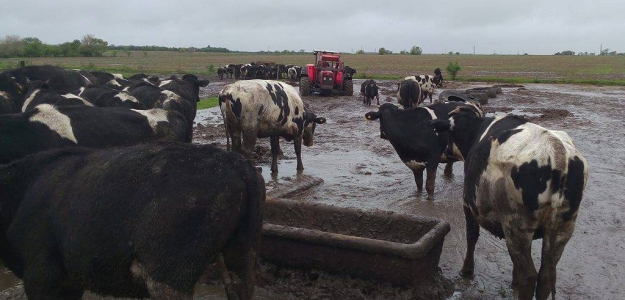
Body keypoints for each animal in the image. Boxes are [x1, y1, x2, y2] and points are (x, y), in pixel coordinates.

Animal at [428, 106, 584, 298]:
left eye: (449, 134)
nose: (445, 152)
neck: (475, 131)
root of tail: (557, 153)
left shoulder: (469, 204)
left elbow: (471, 237)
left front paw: (467, 270)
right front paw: (513, 281)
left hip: (516, 226)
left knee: (529, 276)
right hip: (562, 229)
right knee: (546, 276)